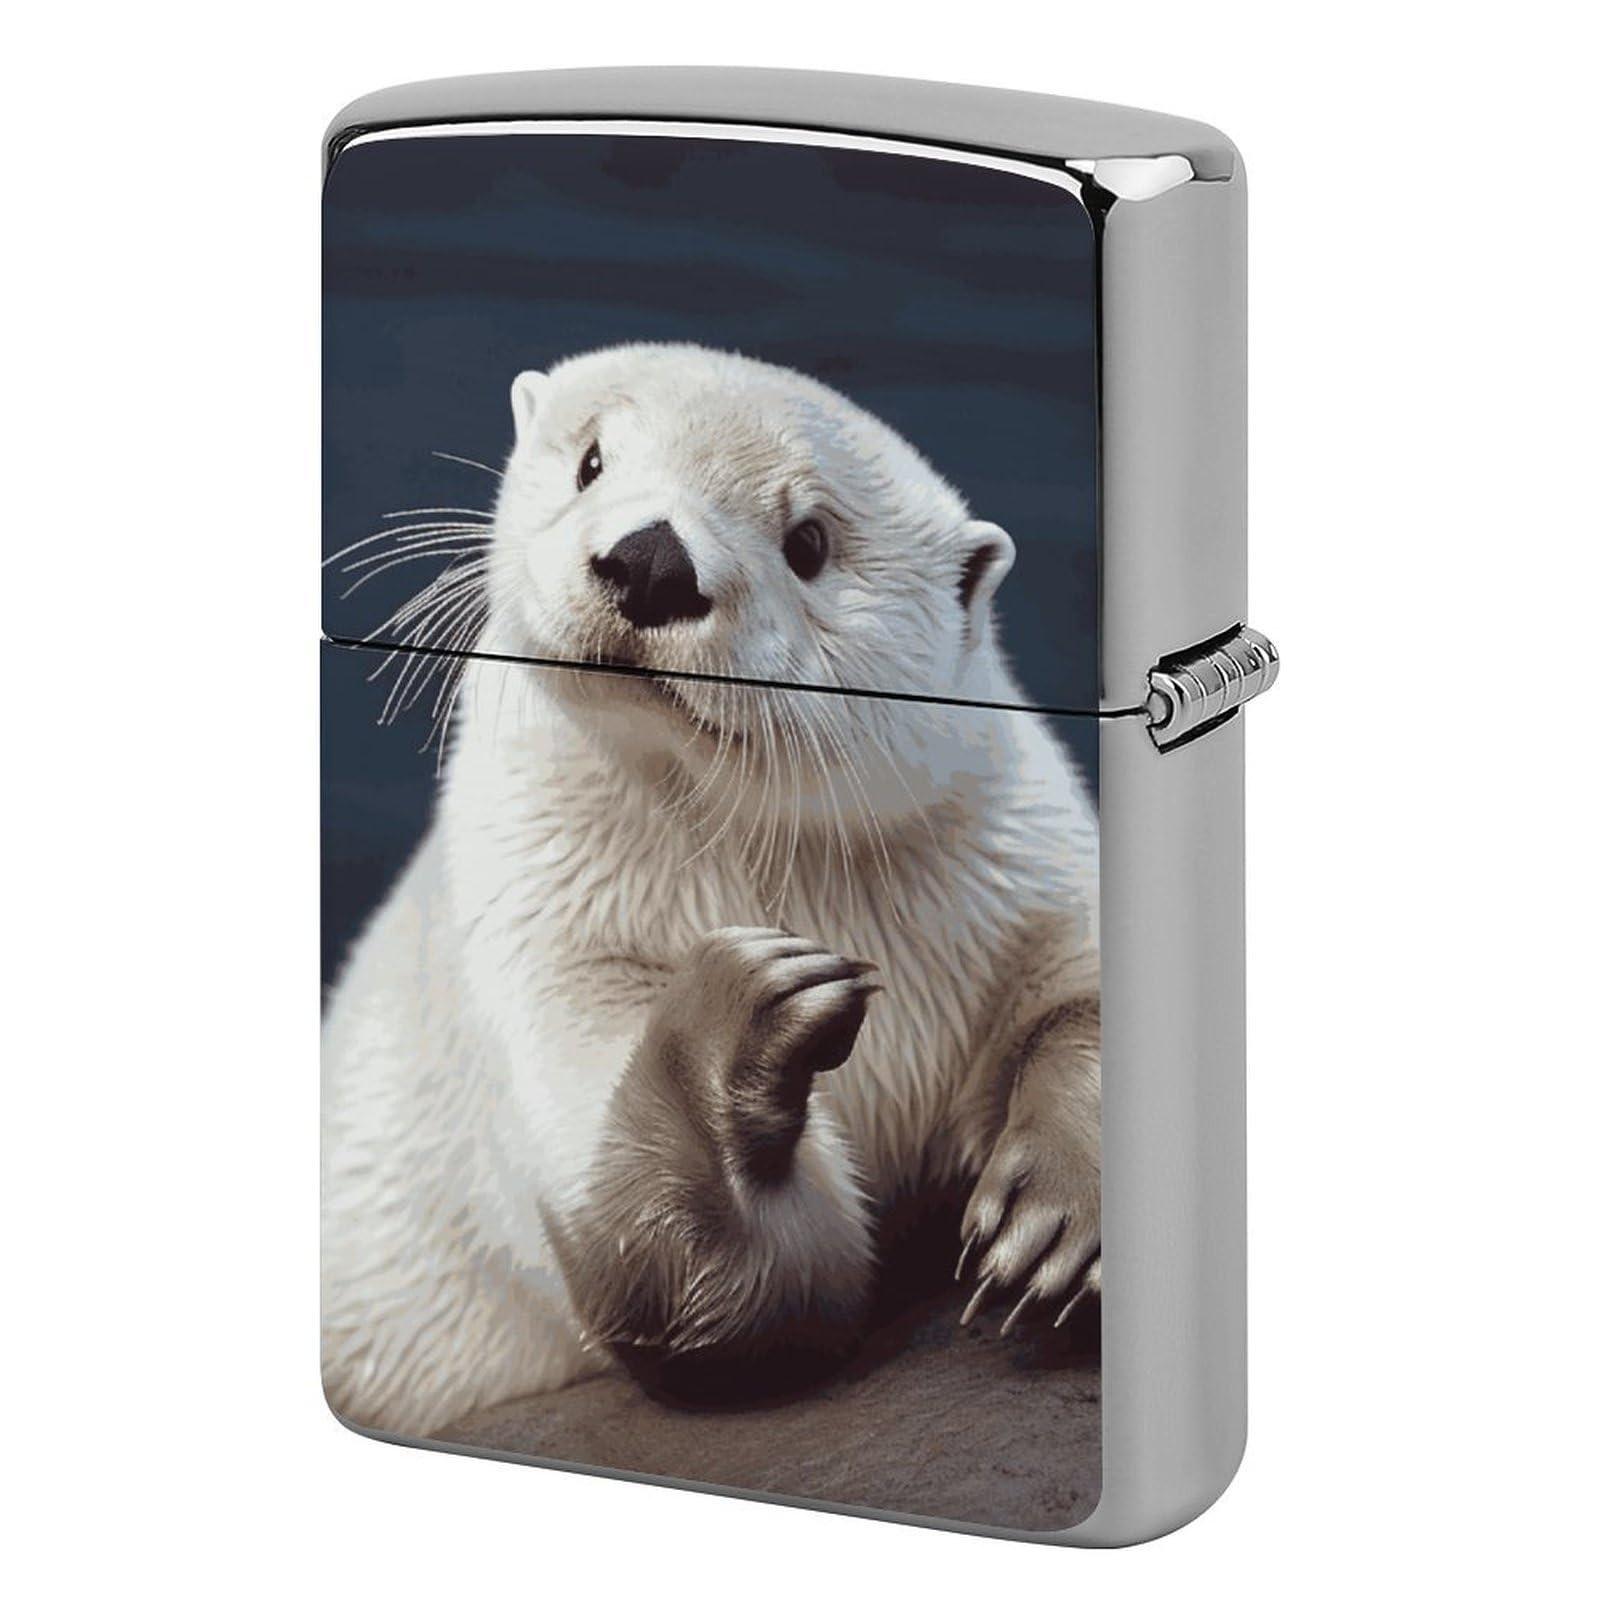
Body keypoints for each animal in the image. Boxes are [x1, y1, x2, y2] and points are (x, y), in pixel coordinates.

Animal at [322, 344, 1101, 1437]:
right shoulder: (543, 948)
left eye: (808, 541)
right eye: (593, 460)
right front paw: (745, 1014)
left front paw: (1059, 1215)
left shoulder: (1021, 859)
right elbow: (732, 1281)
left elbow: (1083, 997)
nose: (651, 559)